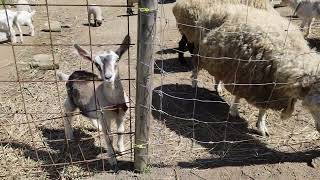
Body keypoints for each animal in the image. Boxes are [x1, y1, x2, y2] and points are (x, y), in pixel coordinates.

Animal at [56, 34, 130, 167]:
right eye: (96, 64)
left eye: (117, 60)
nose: (108, 77)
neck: (113, 101)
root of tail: (70, 76)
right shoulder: (104, 116)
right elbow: (109, 137)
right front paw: (112, 159)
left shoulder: (121, 114)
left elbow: (121, 131)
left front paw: (121, 150)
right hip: (71, 100)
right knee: (67, 114)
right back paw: (70, 136)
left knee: (86, 112)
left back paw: (96, 126)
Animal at [195, 3, 320, 136]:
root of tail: (222, 6)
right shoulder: (244, 76)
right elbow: (238, 96)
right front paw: (234, 110)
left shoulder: (266, 90)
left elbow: (263, 110)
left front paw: (261, 125)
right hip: (200, 51)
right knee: (197, 69)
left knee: (217, 74)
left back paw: (218, 87)